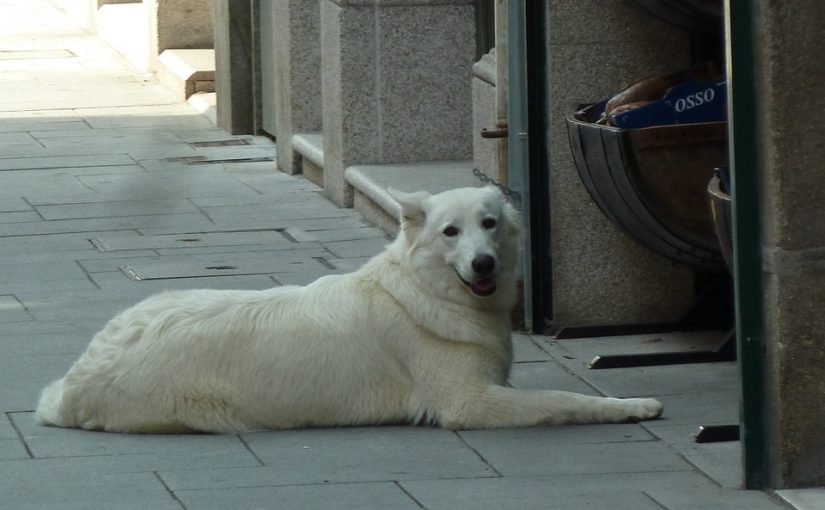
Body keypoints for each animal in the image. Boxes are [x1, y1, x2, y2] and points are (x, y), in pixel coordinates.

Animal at [35, 185, 664, 432]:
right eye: (450, 232)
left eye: (488, 224)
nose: (484, 264)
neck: (425, 292)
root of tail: (73, 382)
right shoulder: (471, 404)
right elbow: (566, 400)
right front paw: (630, 406)